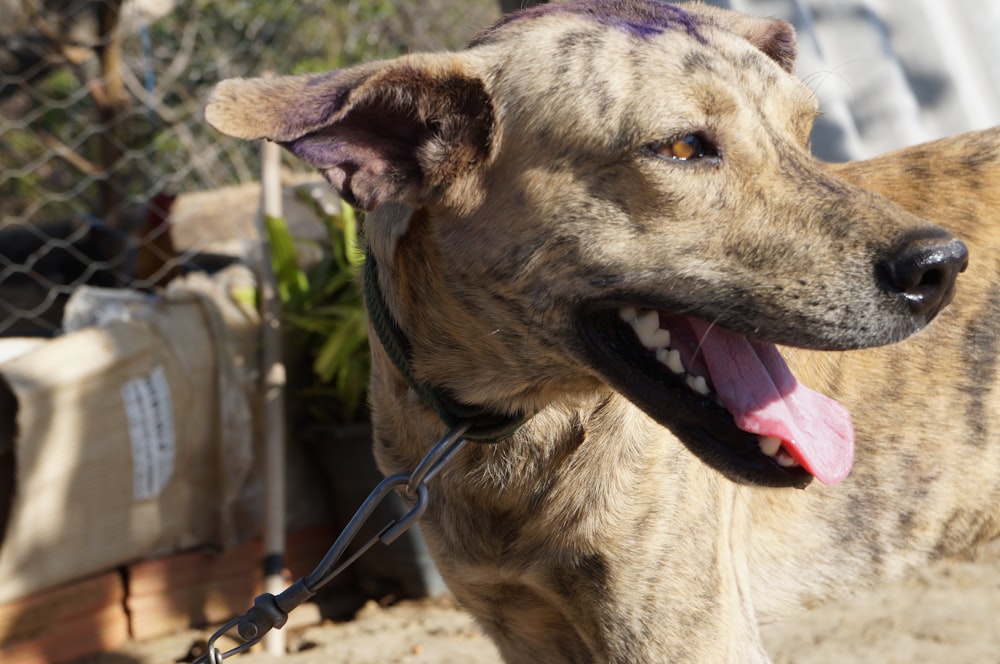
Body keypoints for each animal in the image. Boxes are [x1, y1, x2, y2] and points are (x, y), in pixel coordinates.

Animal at [205, 2, 1000, 660]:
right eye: (681, 148)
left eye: (804, 132)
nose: (941, 267)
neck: (505, 432)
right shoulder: (529, 632)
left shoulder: (685, 635)